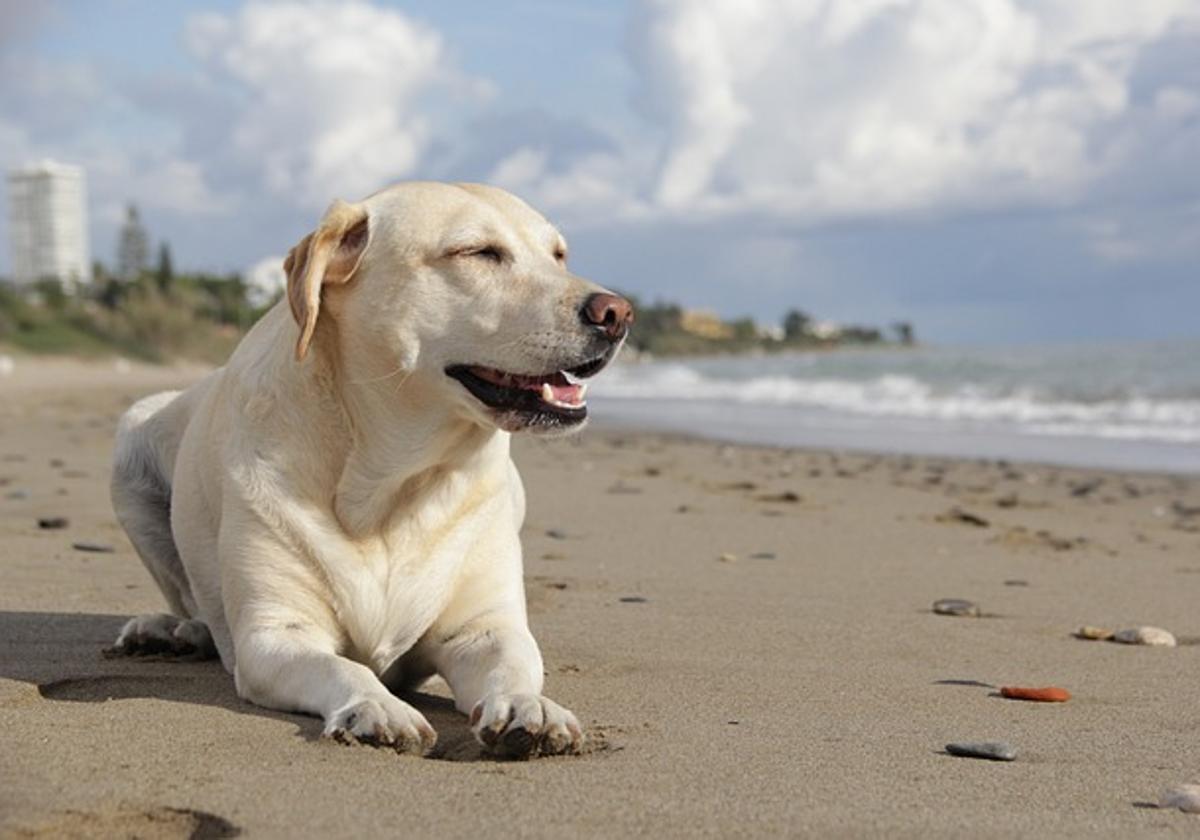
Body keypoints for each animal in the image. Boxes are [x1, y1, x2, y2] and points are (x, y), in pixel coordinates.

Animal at [110, 180, 638, 758]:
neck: (393, 484)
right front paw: (377, 706)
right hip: (131, 437)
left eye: (558, 255)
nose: (617, 312)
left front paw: (530, 706)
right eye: (478, 252)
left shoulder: (485, 628)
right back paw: (171, 632)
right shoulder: (274, 634)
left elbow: (515, 664)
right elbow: (341, 668)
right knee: (193, 603)